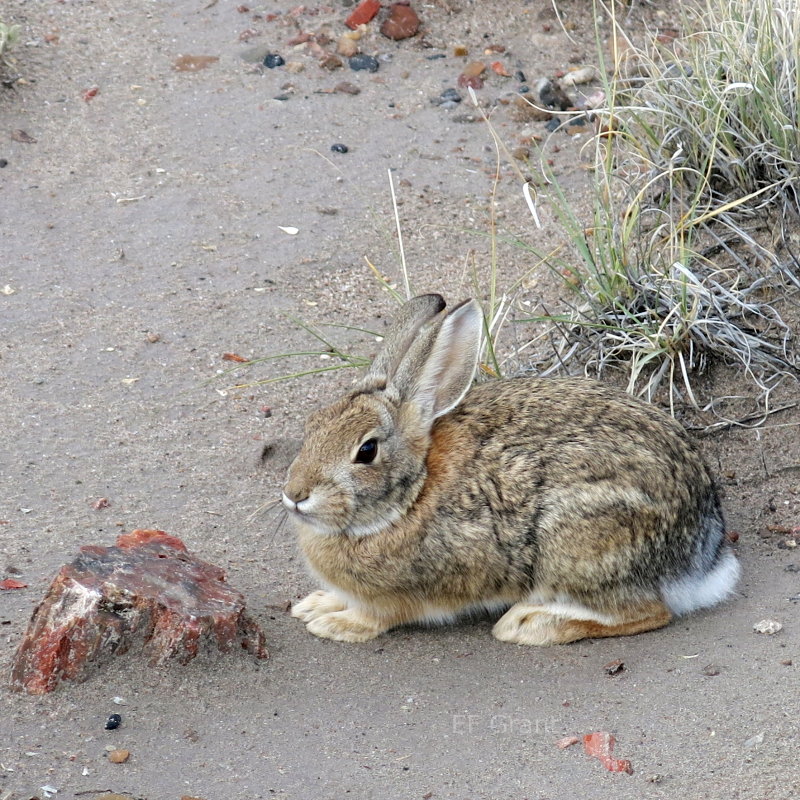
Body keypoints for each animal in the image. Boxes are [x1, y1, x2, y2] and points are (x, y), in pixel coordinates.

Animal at [284, 294, 740, 644]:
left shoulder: (403, 594)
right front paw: (315, 605)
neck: (411, 497)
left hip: (578, 546)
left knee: (645, 612)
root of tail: (706, 559)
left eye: (367, 450)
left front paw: (334, 624)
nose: (294, 494)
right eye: (312, 425)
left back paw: (527, 624)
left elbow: (376, 617)